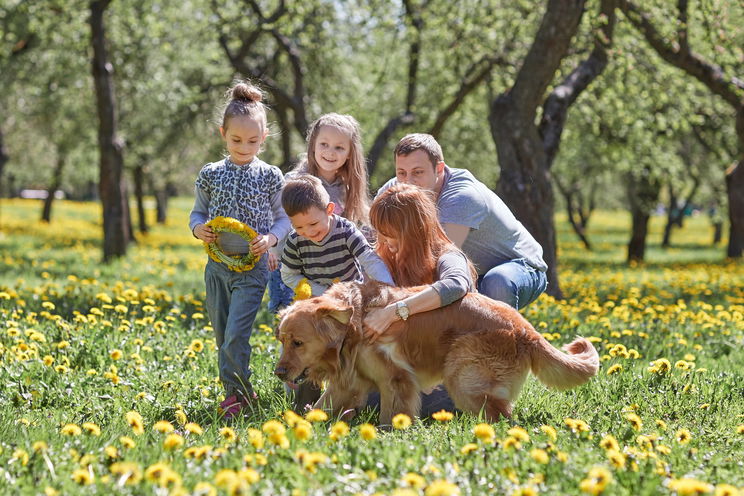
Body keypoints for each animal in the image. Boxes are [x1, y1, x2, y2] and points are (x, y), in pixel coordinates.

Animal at [274, 280, 600, 424]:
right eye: (282, 340)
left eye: (298, 343)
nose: (278, 372)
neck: (354, 324)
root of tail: (525, 327)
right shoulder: (349, 381)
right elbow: (320, 407)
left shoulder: (396, 380)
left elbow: (391, 415)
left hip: (463, 378)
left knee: (502, 415)